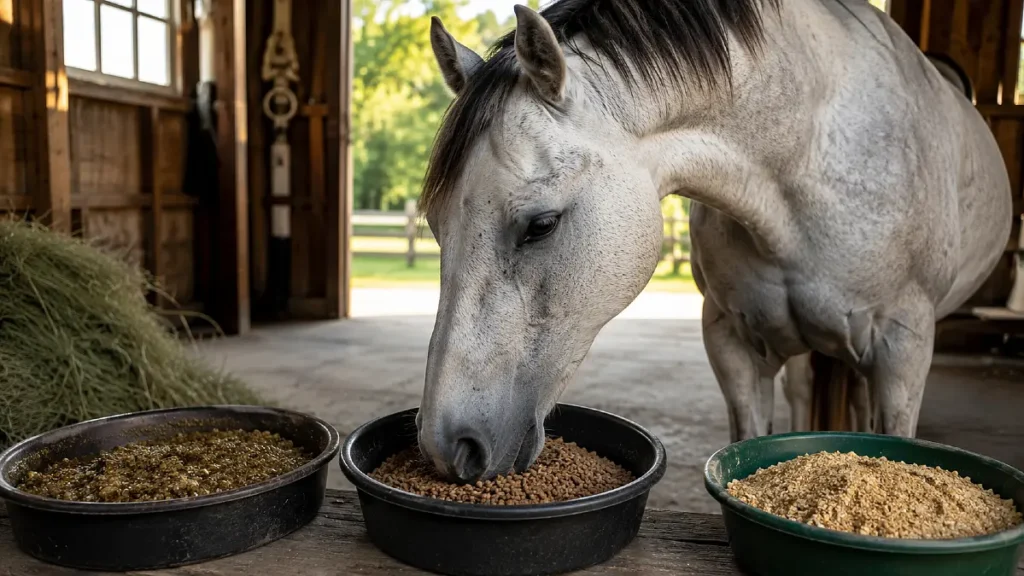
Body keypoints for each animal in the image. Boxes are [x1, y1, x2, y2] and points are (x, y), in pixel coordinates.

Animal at [416, 0, 1013, 483]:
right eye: (436, 225)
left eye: (541, 224)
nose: (446, 447)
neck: (806, 152)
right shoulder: (732, 341)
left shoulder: (902, 350)